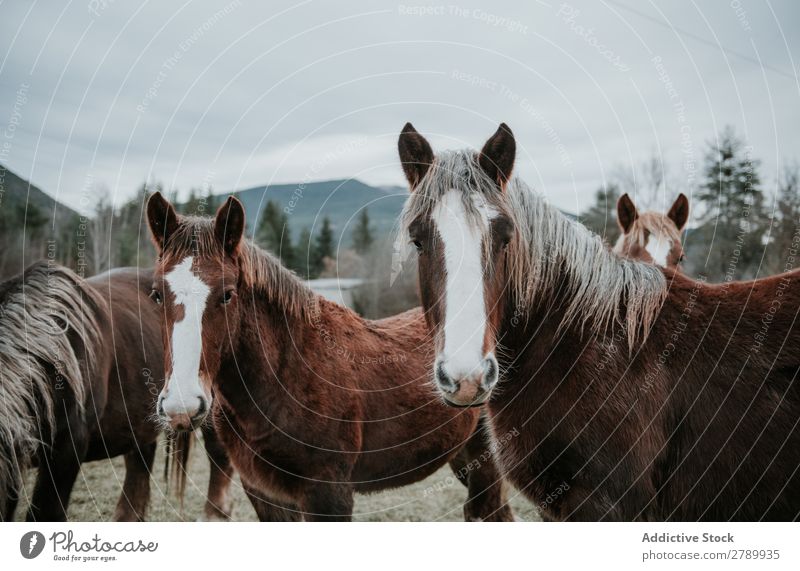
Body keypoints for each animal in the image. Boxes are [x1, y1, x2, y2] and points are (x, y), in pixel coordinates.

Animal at [147, 193, 516, 524]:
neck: (288, 372)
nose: (181, 406)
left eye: (227, 294)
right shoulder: (264, 494)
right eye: (156, 294)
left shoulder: (328, 494)